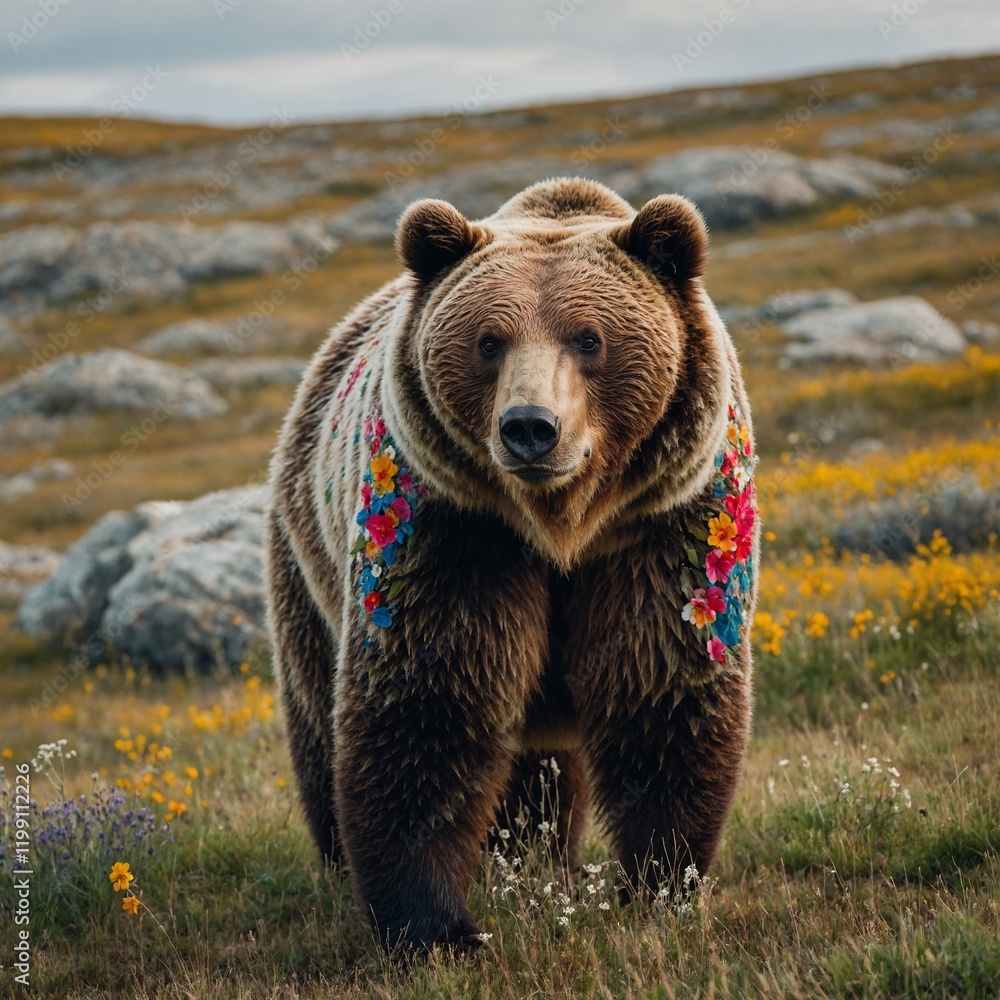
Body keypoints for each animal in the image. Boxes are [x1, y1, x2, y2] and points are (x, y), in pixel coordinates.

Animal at [265, 176, 759, 952]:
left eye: (589, 338)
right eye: (488, 341)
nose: (530, 427)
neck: (562, 524)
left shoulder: (667, 523)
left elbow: (664, 684)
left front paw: (659, 886)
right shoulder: (451, 525)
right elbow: (431, 700)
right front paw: (434, 927)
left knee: (542, 771)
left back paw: (542, 859)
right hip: (307, 561)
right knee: (318, 711)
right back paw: (348, 864)